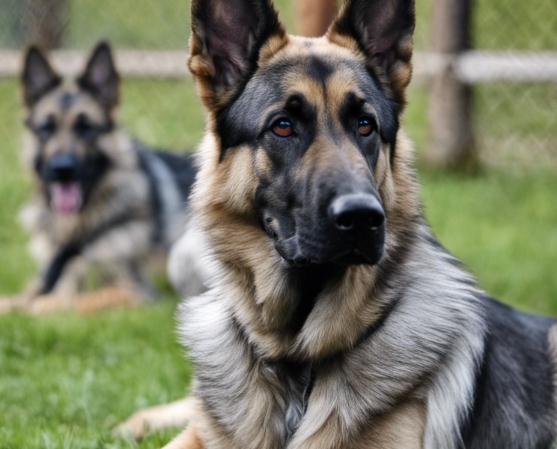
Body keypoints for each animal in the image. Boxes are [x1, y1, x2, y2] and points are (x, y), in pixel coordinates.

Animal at [0, 43, 197, 314]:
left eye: (86, 128)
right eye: (46, 129)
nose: (63, 169)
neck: (76, 230)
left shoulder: (135, 291)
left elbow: (72, 302)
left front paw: (38, 308)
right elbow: (13, 300)